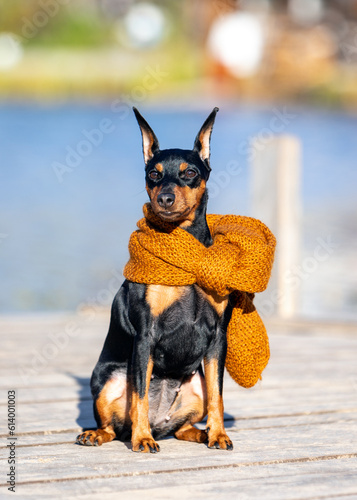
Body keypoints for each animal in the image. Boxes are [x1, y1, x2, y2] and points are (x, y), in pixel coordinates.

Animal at [75, 108, 234, 454]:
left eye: (190, 173)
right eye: (154, 174)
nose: (165, 198)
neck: (183, 252)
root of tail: (163, 424)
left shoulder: (218, 338)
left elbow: (218, 396)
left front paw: (218, 434)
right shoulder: (145, 335)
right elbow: (141, 396)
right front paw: (142, 439)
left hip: (196, 383)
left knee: (183, 425)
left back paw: (201, 433)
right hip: (109, 377)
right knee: (114, 424)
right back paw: (102, 434)